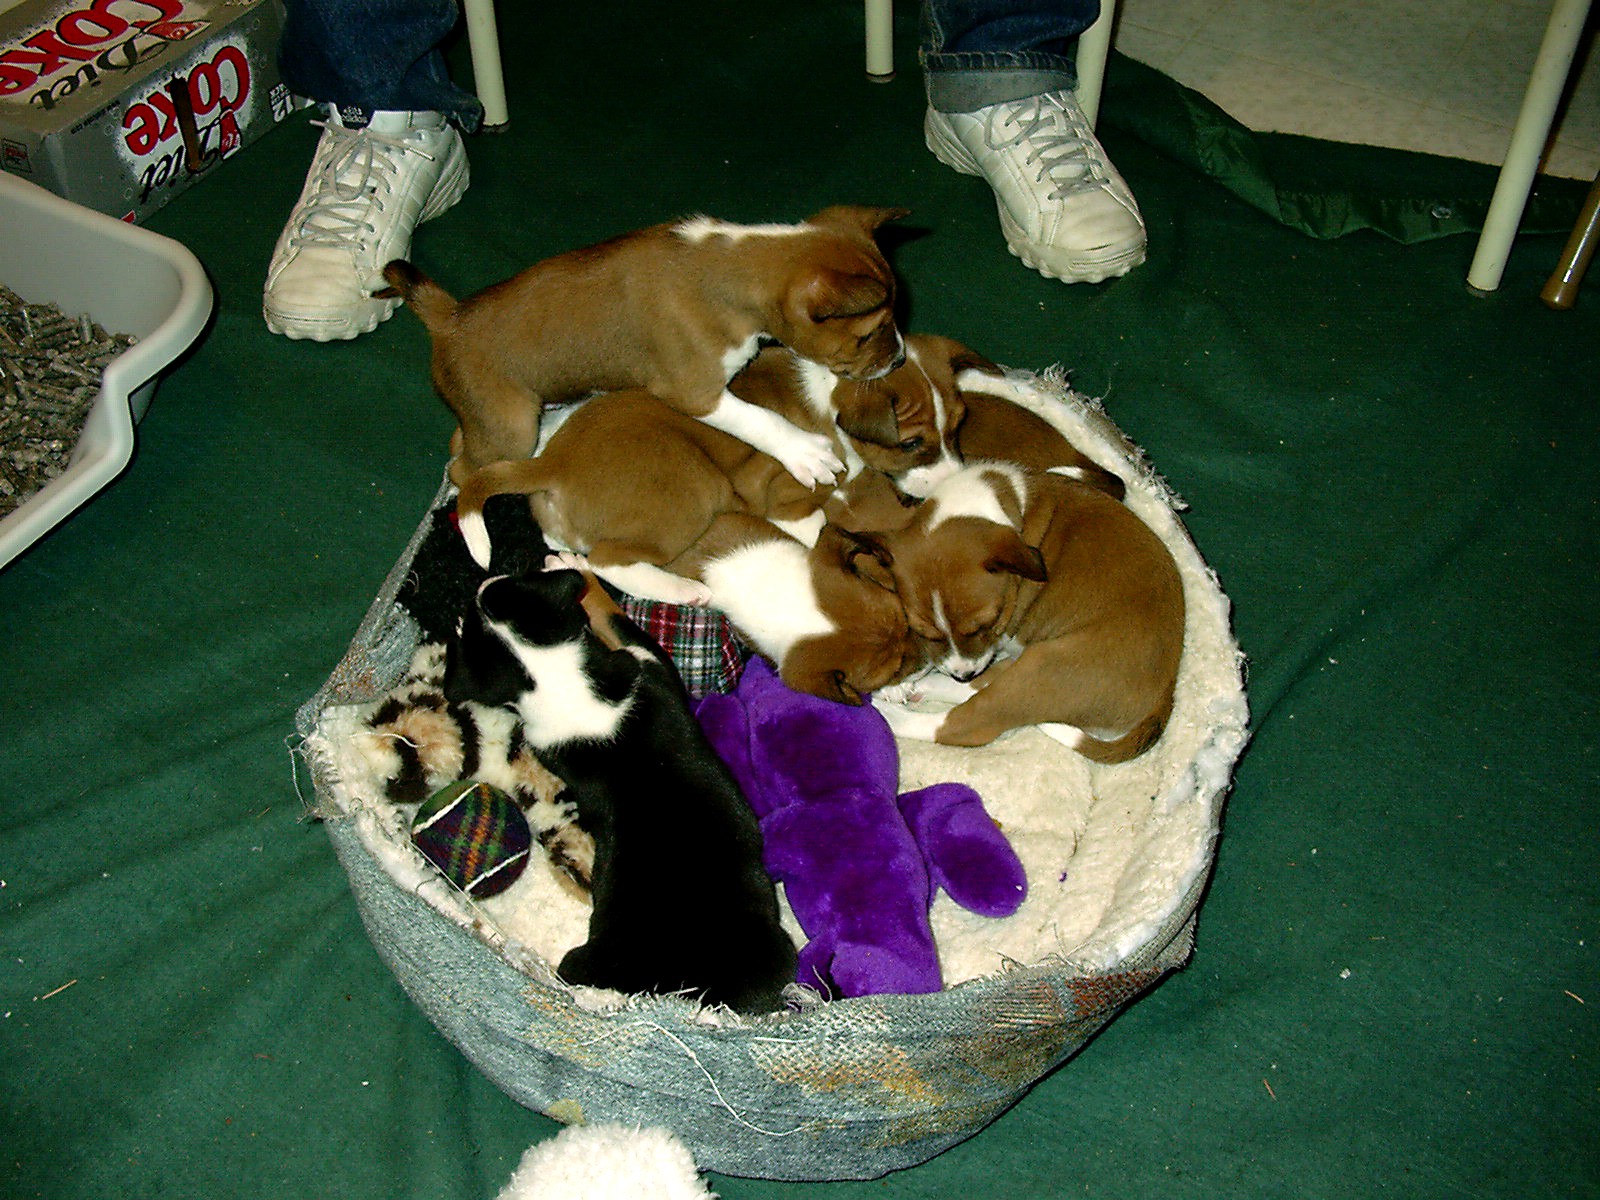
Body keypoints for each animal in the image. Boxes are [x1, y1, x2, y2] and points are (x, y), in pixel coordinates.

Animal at [379, 205, 909, 488]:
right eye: (870, 333)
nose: (901, 358)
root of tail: (448, 318)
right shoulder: (694, 392)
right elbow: (759, 419)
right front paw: (805, 452)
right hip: (510, 426)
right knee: (461, 469)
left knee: (458, 442)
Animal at [442, 566, 797, 1014]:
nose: (484, 583)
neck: (552, 680)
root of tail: (685, 989)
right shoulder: (649, 661)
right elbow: (611, 612)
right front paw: (575, 563)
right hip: (775, 954)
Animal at [855, 462, 1185, 761]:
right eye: (924, 631)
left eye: (984, 625)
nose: (962, 673)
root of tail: (1166, 694)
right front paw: (902, 680)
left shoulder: (1002, 633)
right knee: (978, 689)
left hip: (1043, 667)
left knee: (966, 722)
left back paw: (888, 712)